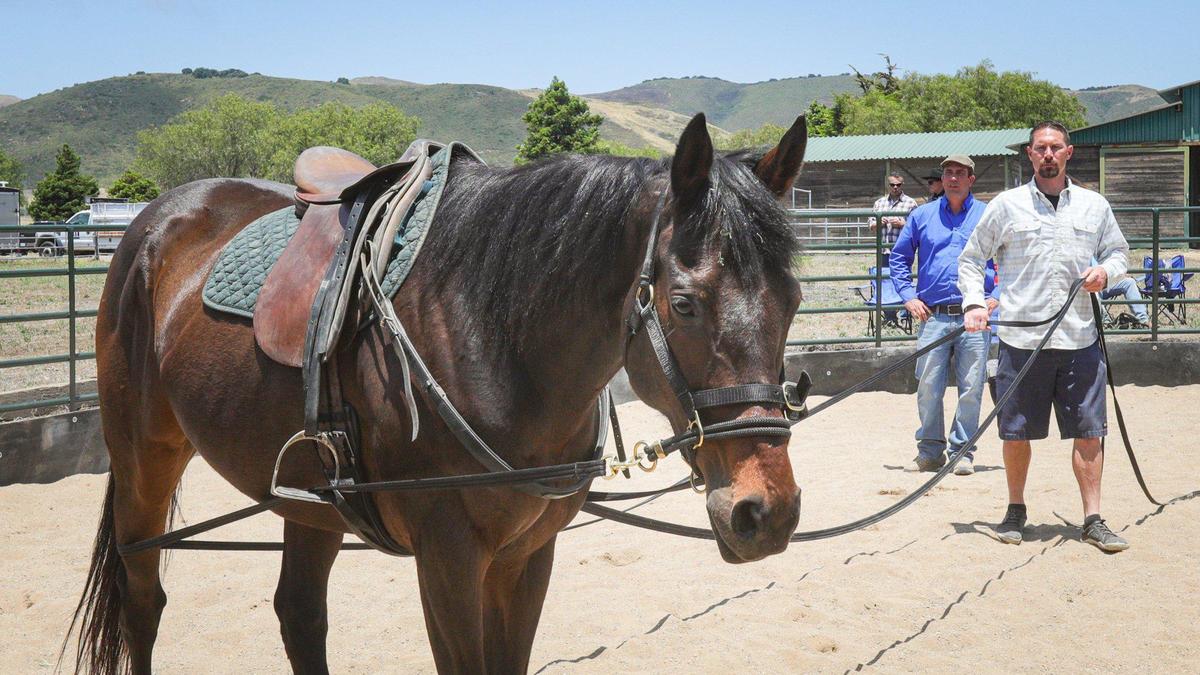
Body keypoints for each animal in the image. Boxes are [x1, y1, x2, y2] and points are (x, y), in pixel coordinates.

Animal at [68, 112, 808, 673]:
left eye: (795, 299)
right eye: (684, 303)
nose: (765, 512)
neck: (492, 335)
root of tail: (154, 223)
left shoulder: (528, 555)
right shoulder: (448, 557)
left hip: (310, 497)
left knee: (299, 615)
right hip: (144, 459)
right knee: (143, 601)